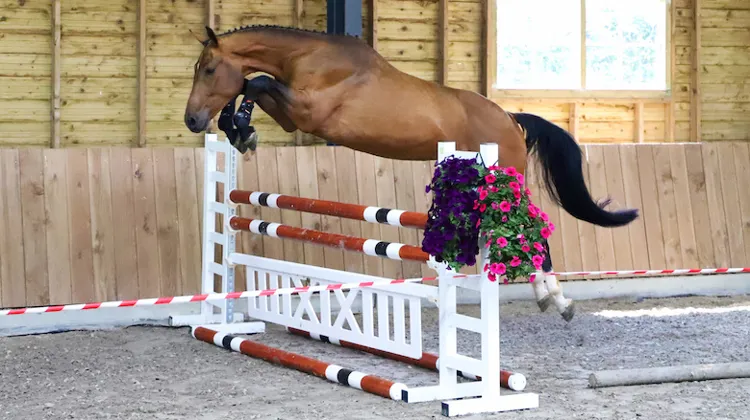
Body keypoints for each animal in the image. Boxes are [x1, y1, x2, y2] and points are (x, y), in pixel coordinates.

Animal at [184, 25, 640, 322]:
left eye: (209, 69)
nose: (191, 120)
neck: (309, 59)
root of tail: (512, 121)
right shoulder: (295, 114)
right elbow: (253, 85)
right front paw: (238, 130)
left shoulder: (307, 112)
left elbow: (256, 82)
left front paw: (242, 129)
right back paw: (546, 295)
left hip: (504, 178)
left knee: (532, 228)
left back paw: (557, 299)